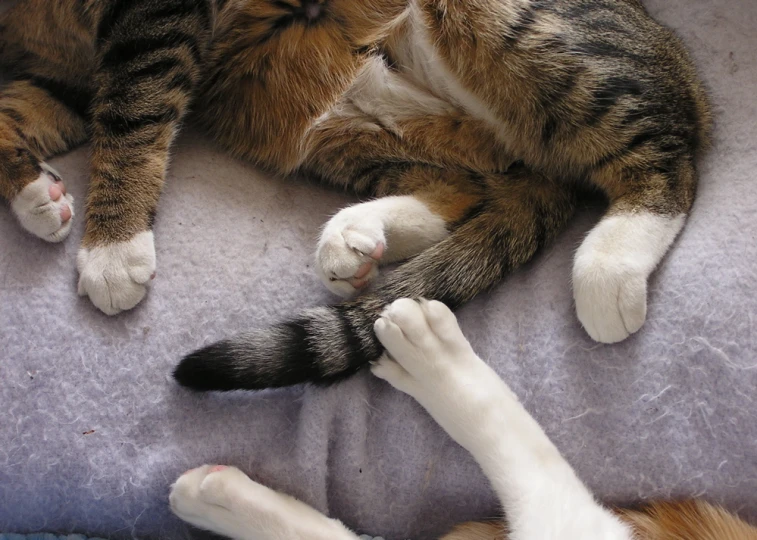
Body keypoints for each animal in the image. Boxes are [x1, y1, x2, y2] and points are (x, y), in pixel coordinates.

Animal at [0, 0, 708, 388]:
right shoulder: (59, 71)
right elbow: (14, 111)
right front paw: (37, 196)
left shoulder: (150, 21)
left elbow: (131, 109)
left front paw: (112, 246)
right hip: (351, 136)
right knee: (463, 188)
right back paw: (356, 240)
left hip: (520, 31)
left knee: (669, 157)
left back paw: (610, 264)